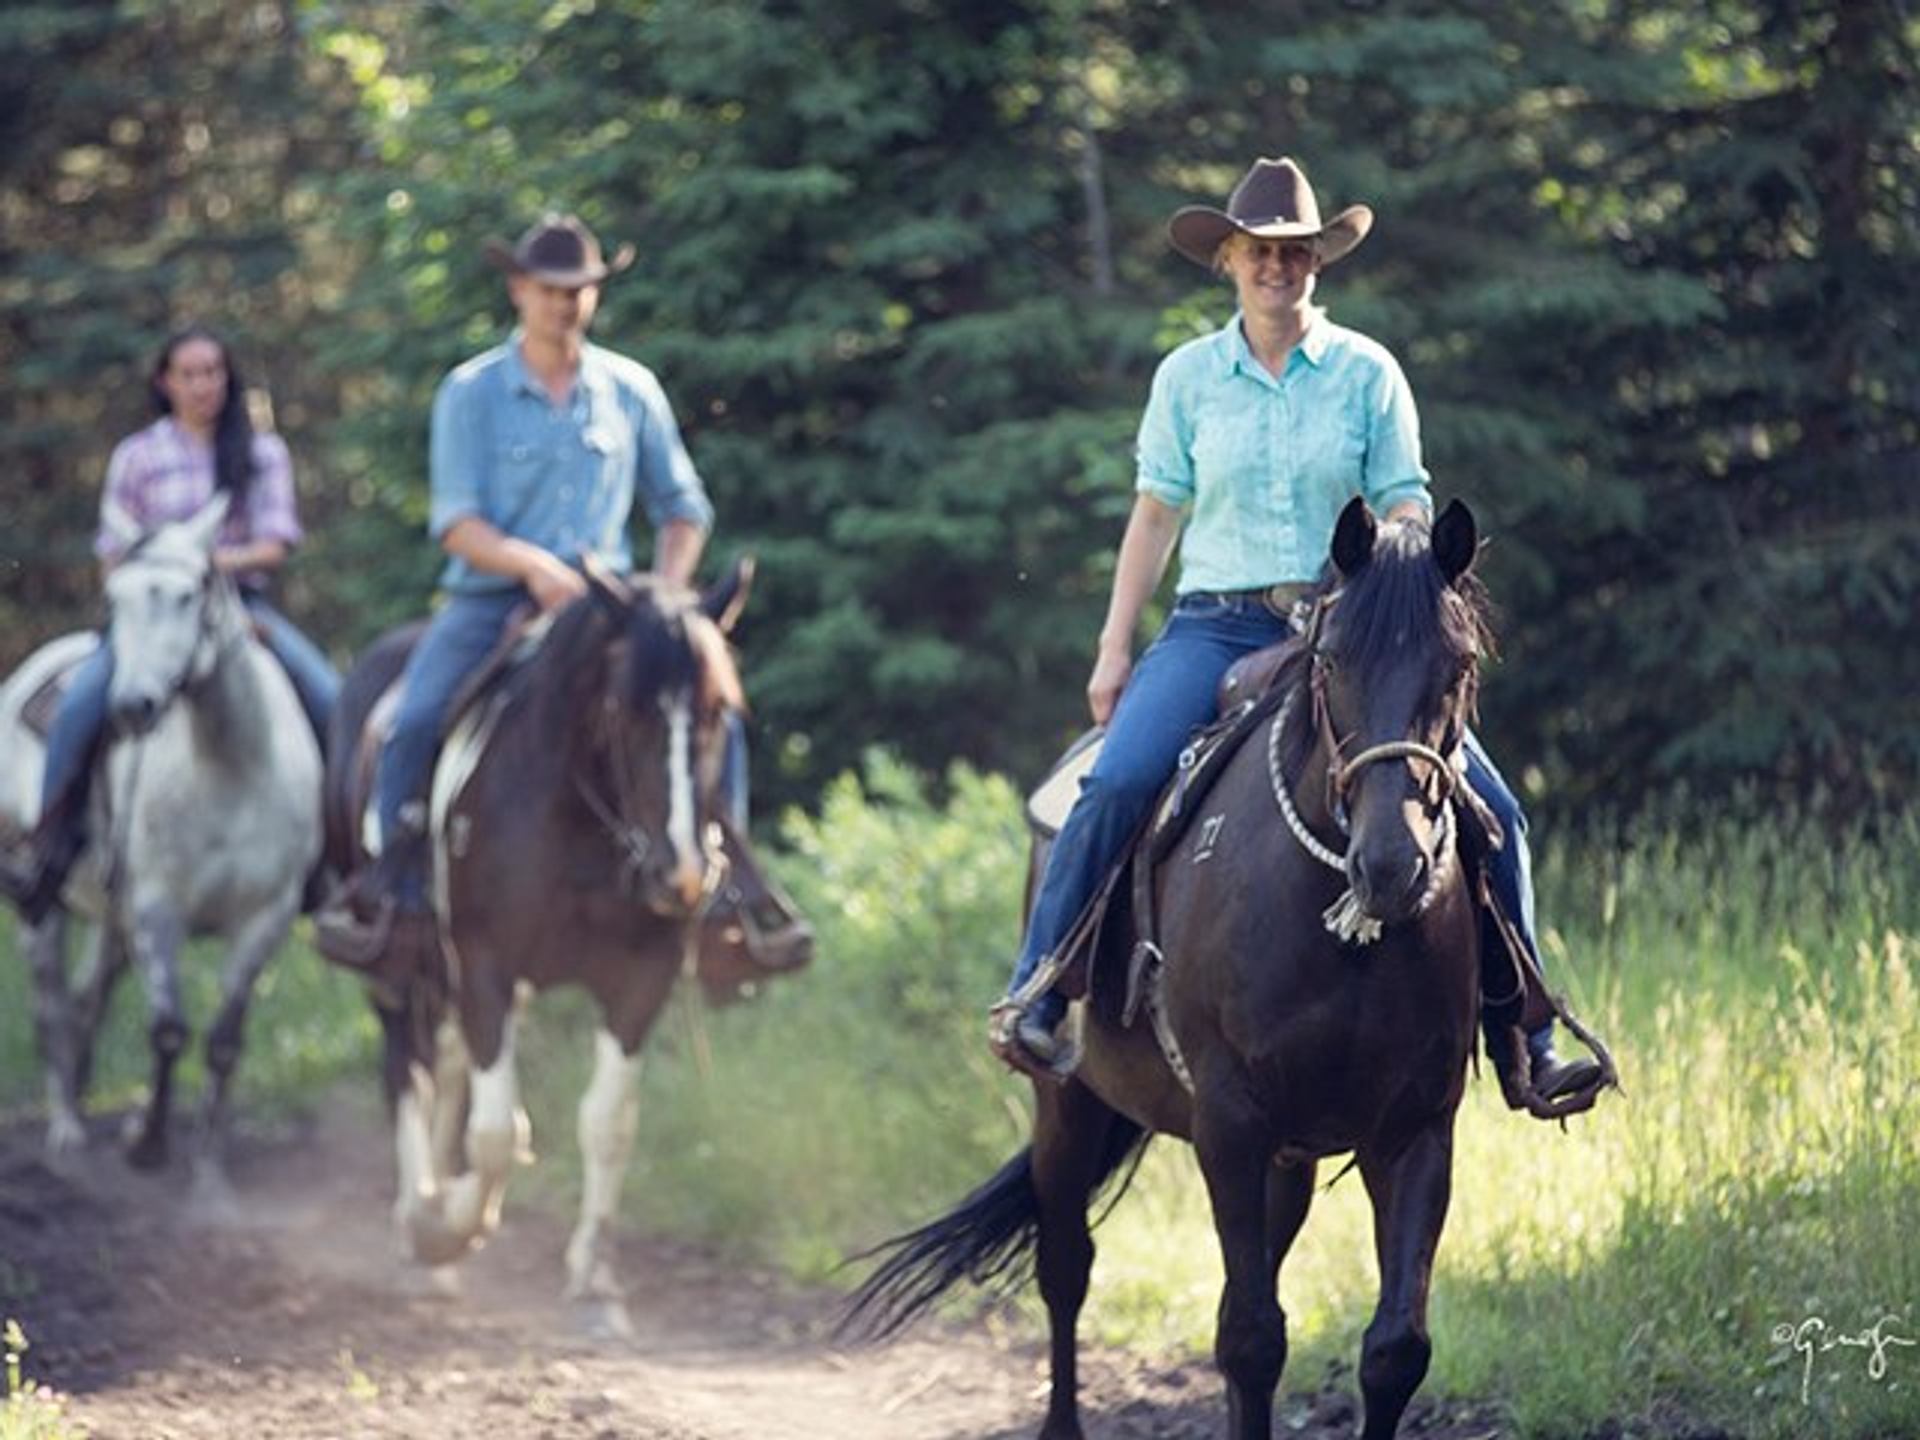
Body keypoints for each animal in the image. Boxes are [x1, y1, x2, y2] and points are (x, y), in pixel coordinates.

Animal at [0, 499, 320, 1198]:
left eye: (188, 593)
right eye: (114, 598)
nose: (132, 705)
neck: (229, 768)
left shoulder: (266, 917)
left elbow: (223, 1041)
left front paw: (208, 1170)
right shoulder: (157, 910)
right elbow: (169, 1029)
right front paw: (148, 1144)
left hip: (112, 922)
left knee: (87, 999)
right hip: (44, 908)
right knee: (50, 1006)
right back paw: (66, 1129)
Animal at [322, 564, 756, 1328]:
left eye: (716, 713)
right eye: (625, 710)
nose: (680, 875)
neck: (574, 816)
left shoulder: (640, 978)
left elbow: (607, 1122)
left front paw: (595, 1279)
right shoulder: (485, 963)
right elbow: (497, 1132)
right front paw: (447, 1228)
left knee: (449, 1069)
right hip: (398, 968)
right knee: (409, 1071)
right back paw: (419, 1226)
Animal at [852, 503, 1497, 1436]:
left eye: (1460, 664)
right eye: (1332, 659)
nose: (1391, 864)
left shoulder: (1414, 1129)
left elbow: (1391, 1350)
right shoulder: (1230, 1122)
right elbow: (1251, 1338)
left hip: (1290, 1159)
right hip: (1068, 1104)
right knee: (1066, 1264)